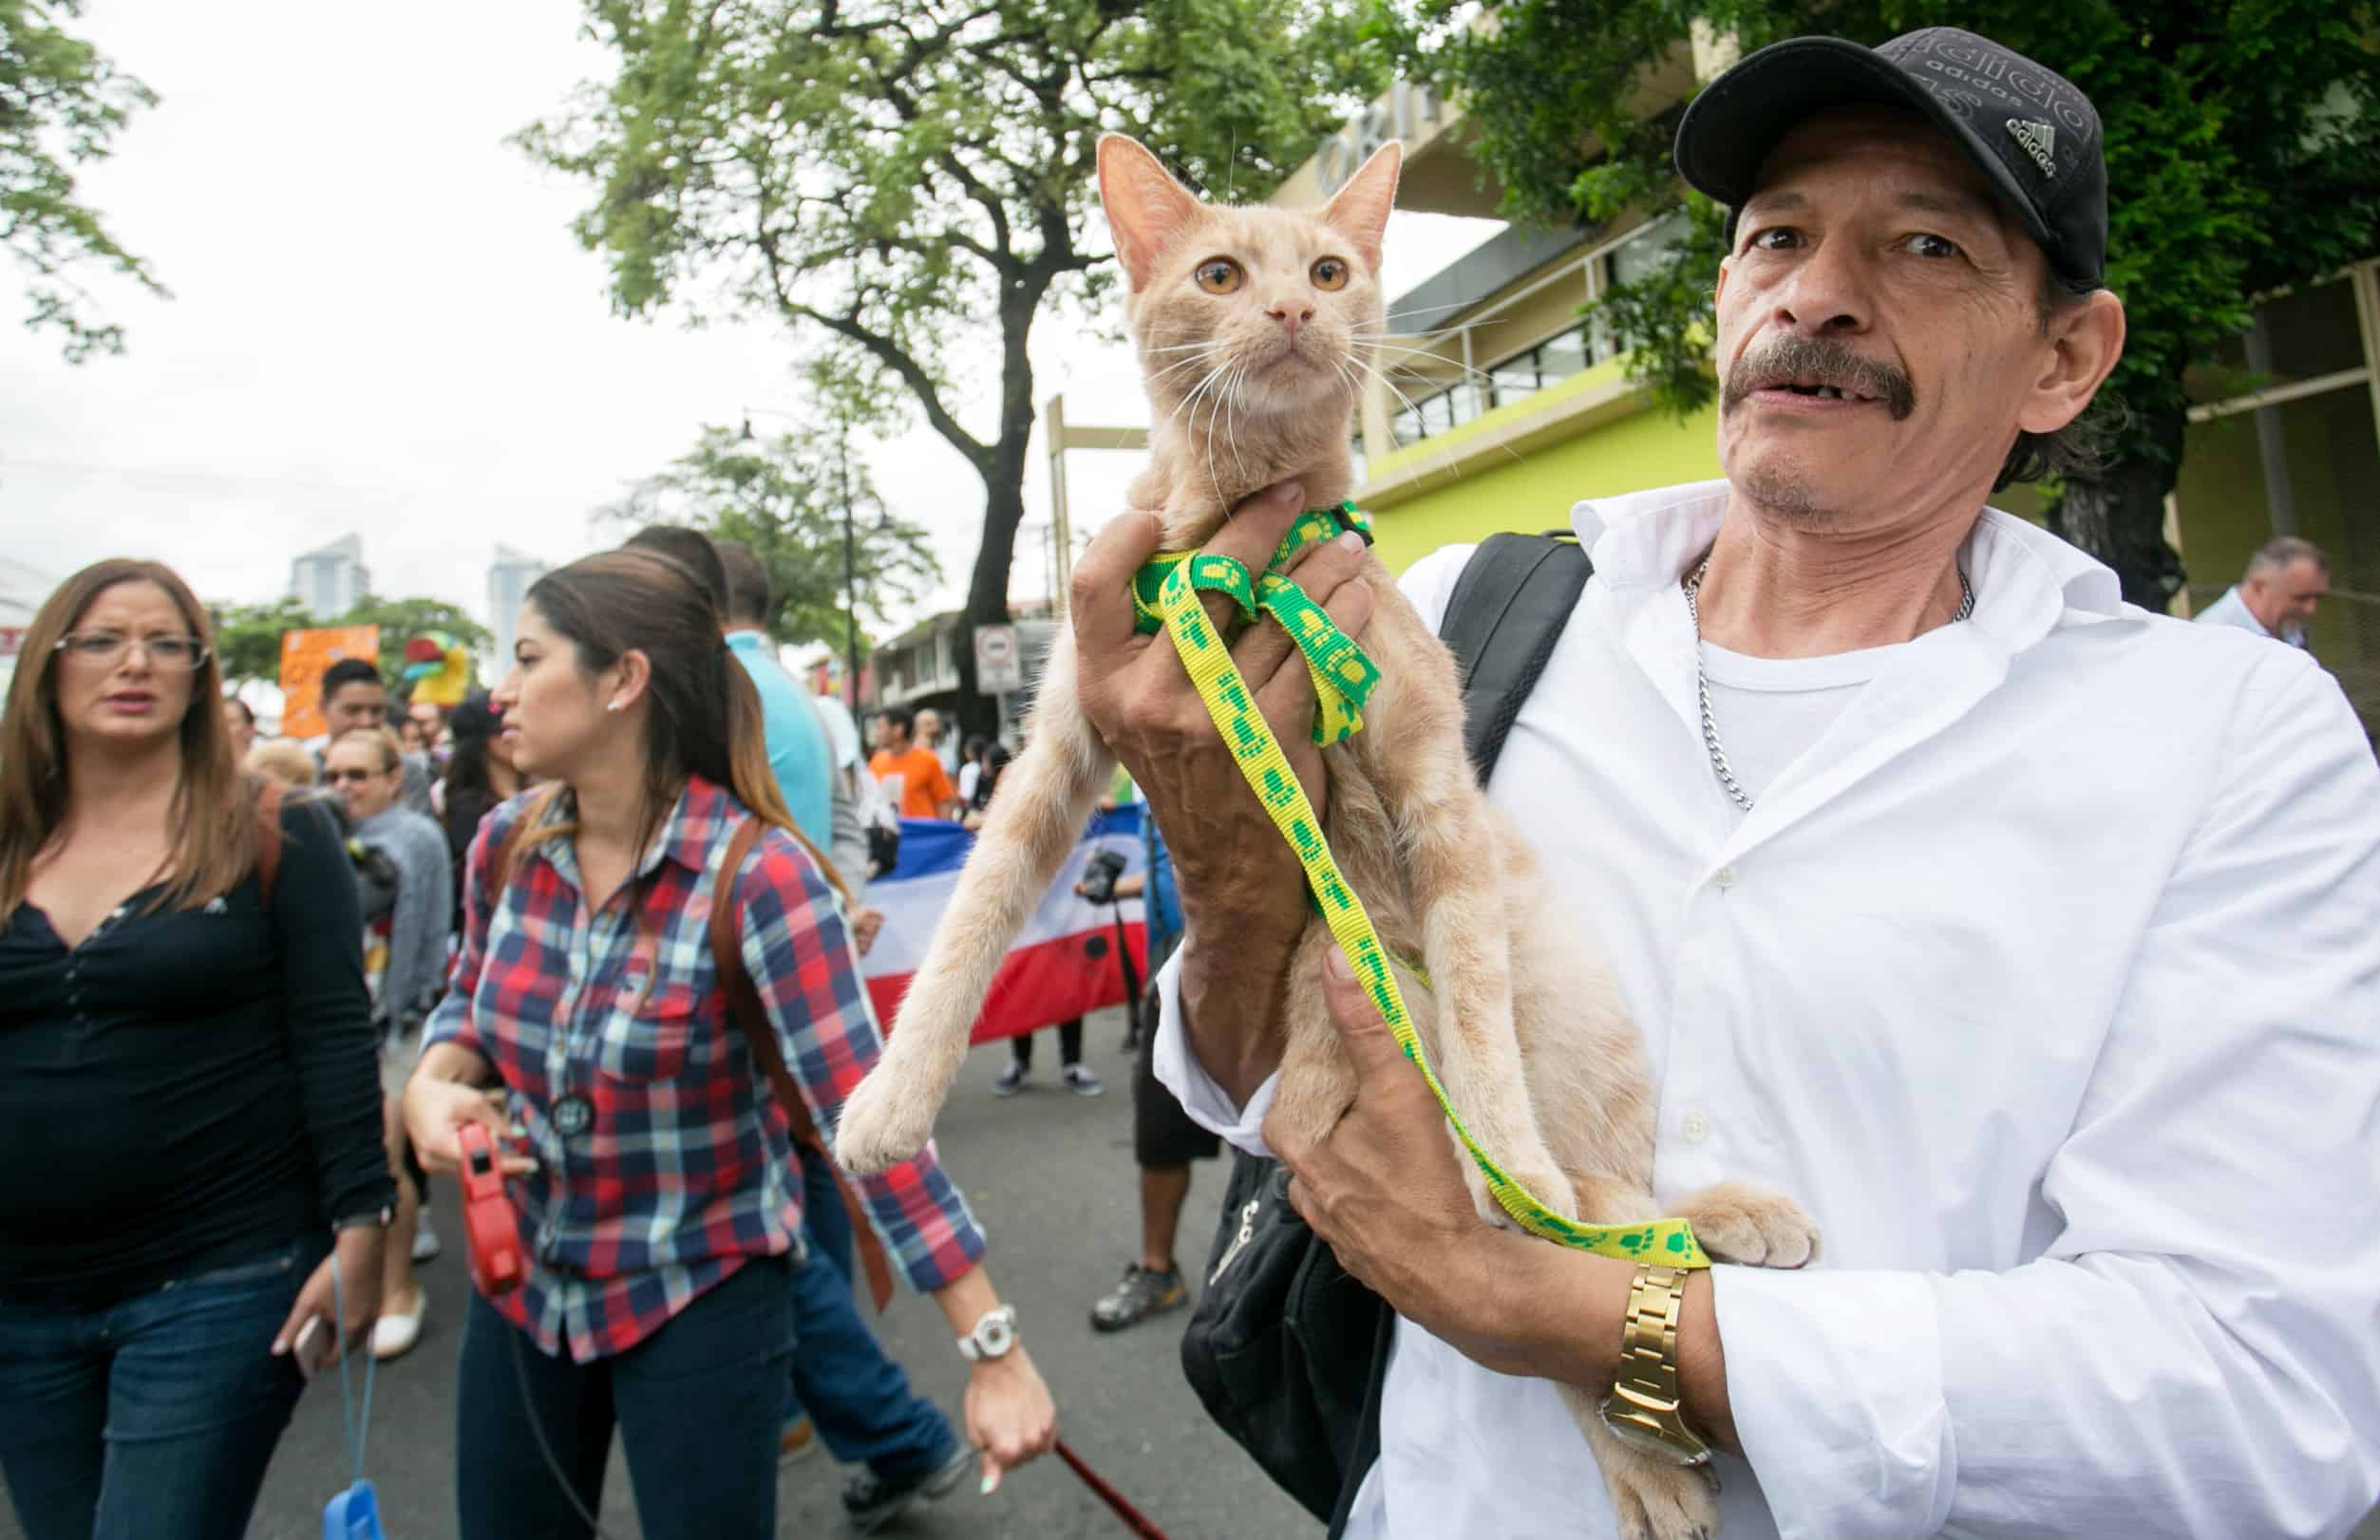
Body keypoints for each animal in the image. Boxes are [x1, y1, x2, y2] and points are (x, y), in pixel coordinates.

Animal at [834, 132, 1819, 1540]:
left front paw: (1508, 1150)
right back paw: (1663, 1406)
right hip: (1336, 998)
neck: (1246, 546)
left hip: (1558, 999)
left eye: (1331, 269)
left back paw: (1695, 1232)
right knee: (1578, 1246)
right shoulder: (1055, 753)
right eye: (1220, 272)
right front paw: (889, 1101)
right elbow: (975, 912)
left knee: (1592, 1213)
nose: (1297, 311)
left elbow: (1485, 1051)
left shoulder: (1436, 787)